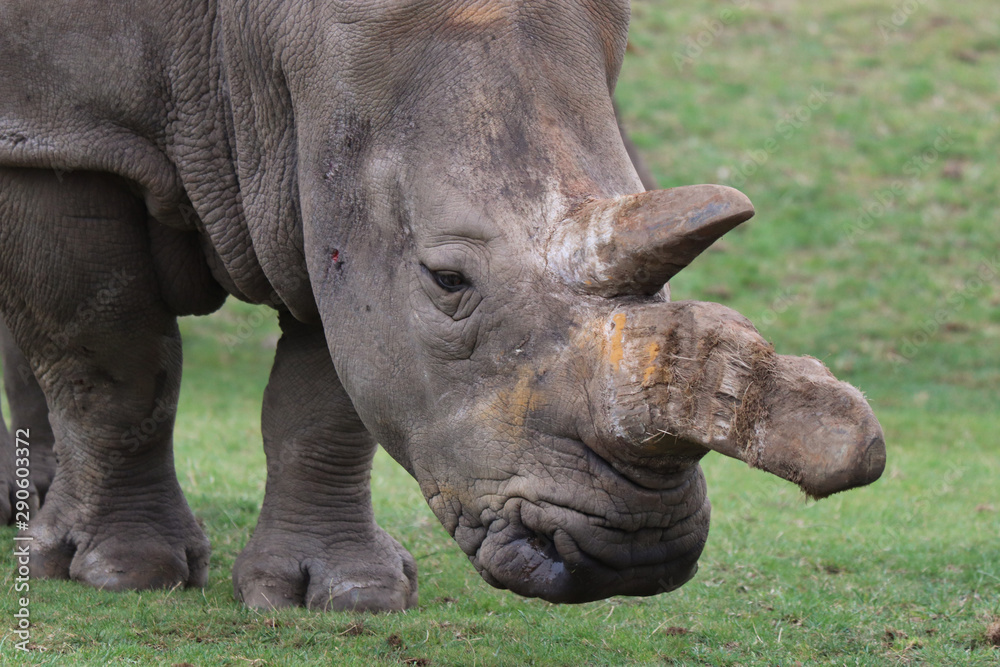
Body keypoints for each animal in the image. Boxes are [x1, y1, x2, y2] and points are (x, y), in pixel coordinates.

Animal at [0, 0, 885, 611]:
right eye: (449, 280)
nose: (635, 553)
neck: (270, 39)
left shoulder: (333, 174)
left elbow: (326, 399)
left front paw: (345, 595)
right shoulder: (65, 131)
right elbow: (114, 368)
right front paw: (125, 574)